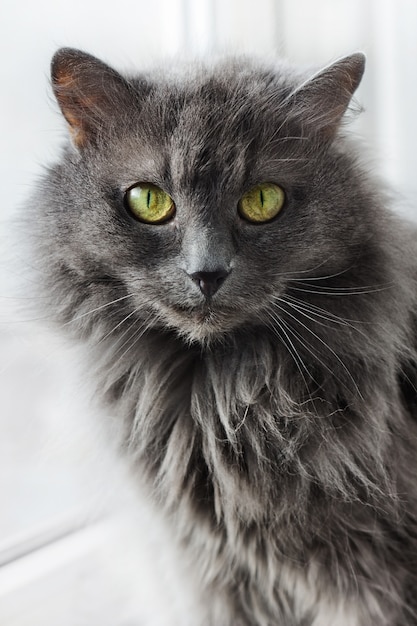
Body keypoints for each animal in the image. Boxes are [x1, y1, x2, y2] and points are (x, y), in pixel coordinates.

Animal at [28, 50, 416, 624]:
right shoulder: (212, 573)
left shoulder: (375, 585)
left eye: (263, 200)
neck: (217, 401)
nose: (206, 273)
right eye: (148, 201)